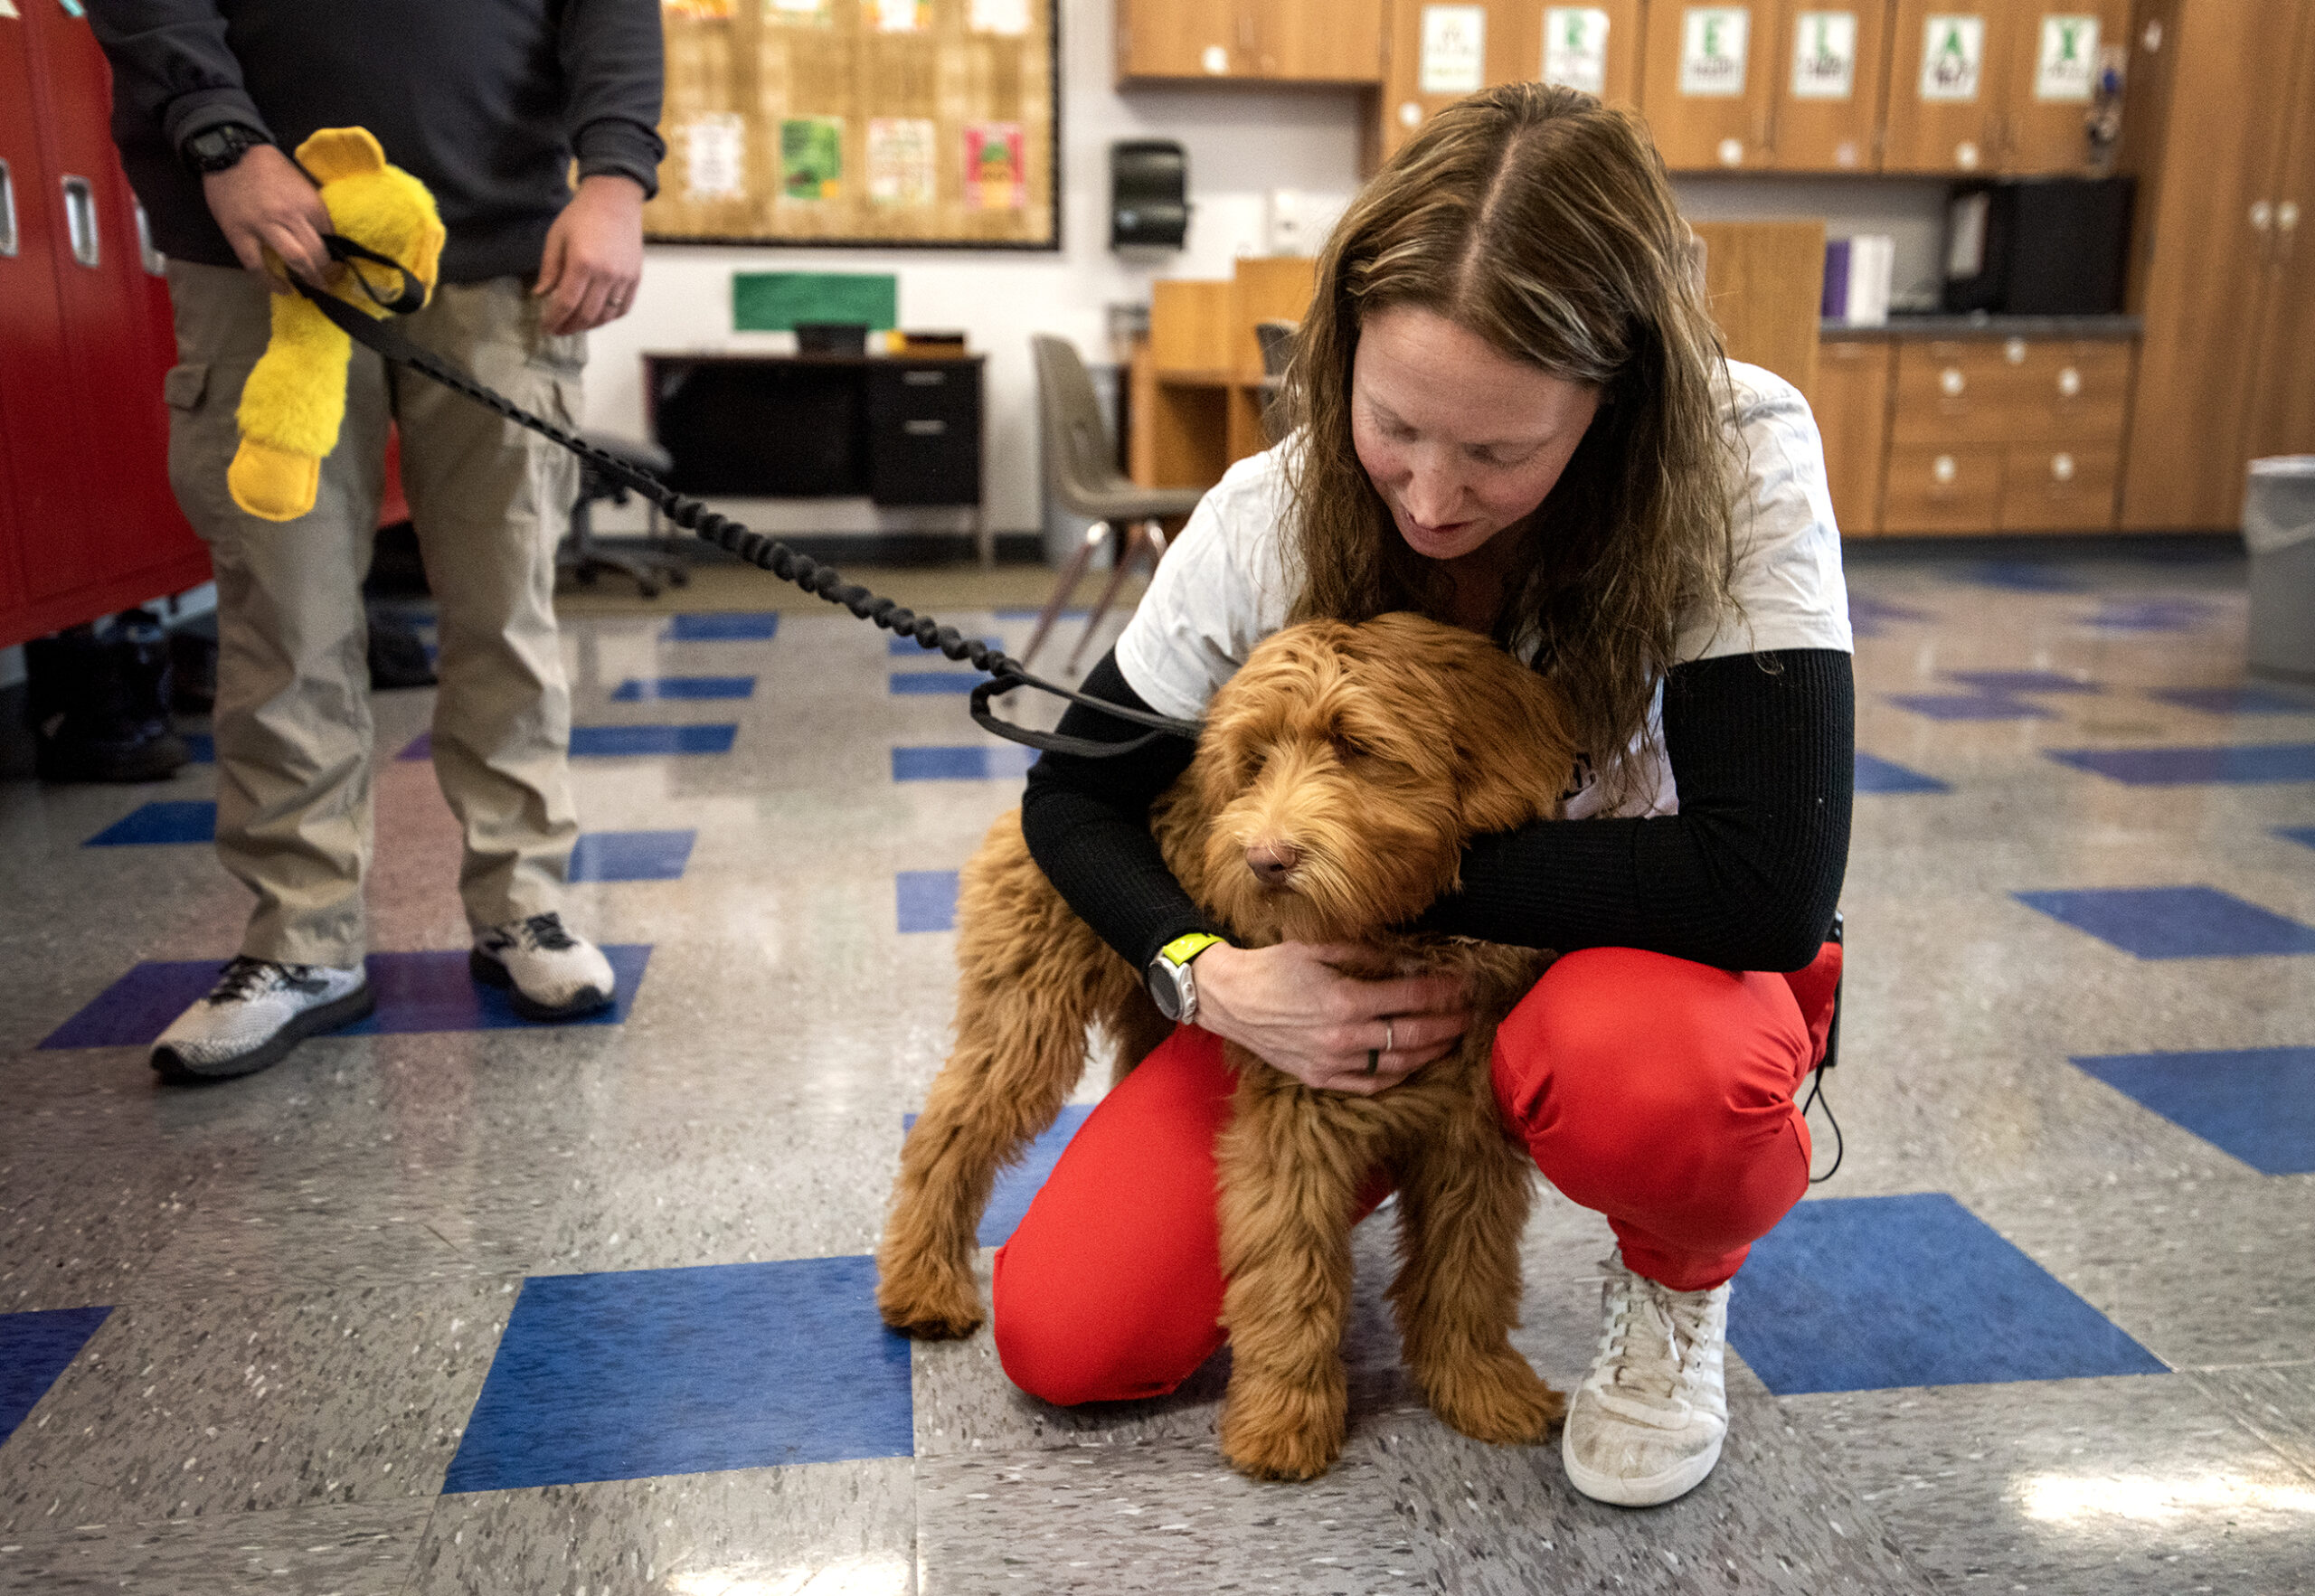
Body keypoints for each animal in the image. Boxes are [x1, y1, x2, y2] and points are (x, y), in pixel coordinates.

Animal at [874, 602, 1583, 1473]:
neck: (1403, 942)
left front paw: (1480, 1386)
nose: (1267, 860)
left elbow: (1469, 1275)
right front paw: (1283, 1421)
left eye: (1356, 745)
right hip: (1023, 1022)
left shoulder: (1471, 1142)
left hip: (1142, 1017)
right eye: (1255, 759)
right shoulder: (1297, 1124)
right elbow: (1292, 1277)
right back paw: (923, 1283)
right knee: (946, 1134)